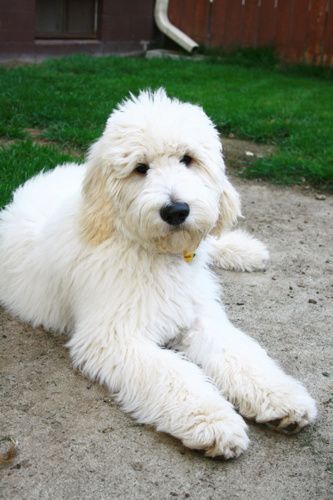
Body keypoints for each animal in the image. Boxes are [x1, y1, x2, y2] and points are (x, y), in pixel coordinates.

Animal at [0, 89, 316, 458]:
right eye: (140, 168)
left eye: (187, 159)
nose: (177, 211)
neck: (152, 251)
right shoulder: (115, 336)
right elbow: (173, 373)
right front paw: (213, 421)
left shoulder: (199, 315)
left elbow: (241, 354)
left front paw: (281, 396)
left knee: (214, 243)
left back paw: (247, 251)